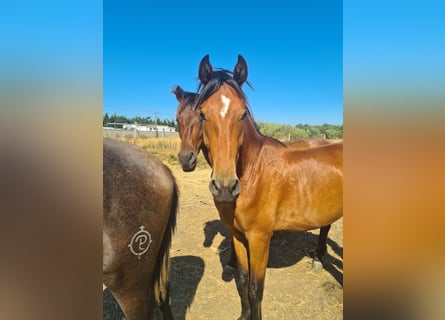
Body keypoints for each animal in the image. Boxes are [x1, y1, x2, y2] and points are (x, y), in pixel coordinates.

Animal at [194, 54, 344, 318]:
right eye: (202, 114)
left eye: (243, 113)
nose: (225, 187)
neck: (253, 173)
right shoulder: (238, 236)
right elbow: (243, 279)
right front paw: (244, 314)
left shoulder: (259, 239)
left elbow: (256, 288)